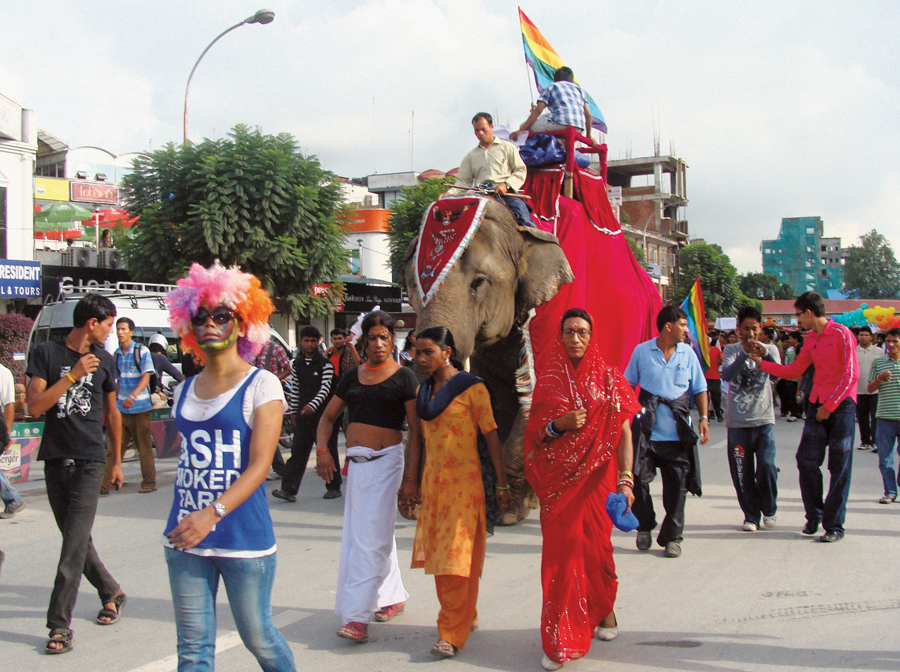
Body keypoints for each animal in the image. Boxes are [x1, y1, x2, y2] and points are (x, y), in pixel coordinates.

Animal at [404, 200, 572, 524]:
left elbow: (537, 398)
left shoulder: (547, 323)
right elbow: (492, 403)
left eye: (479, 282)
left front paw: (507, 513)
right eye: (413, 287)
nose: (412, 508)